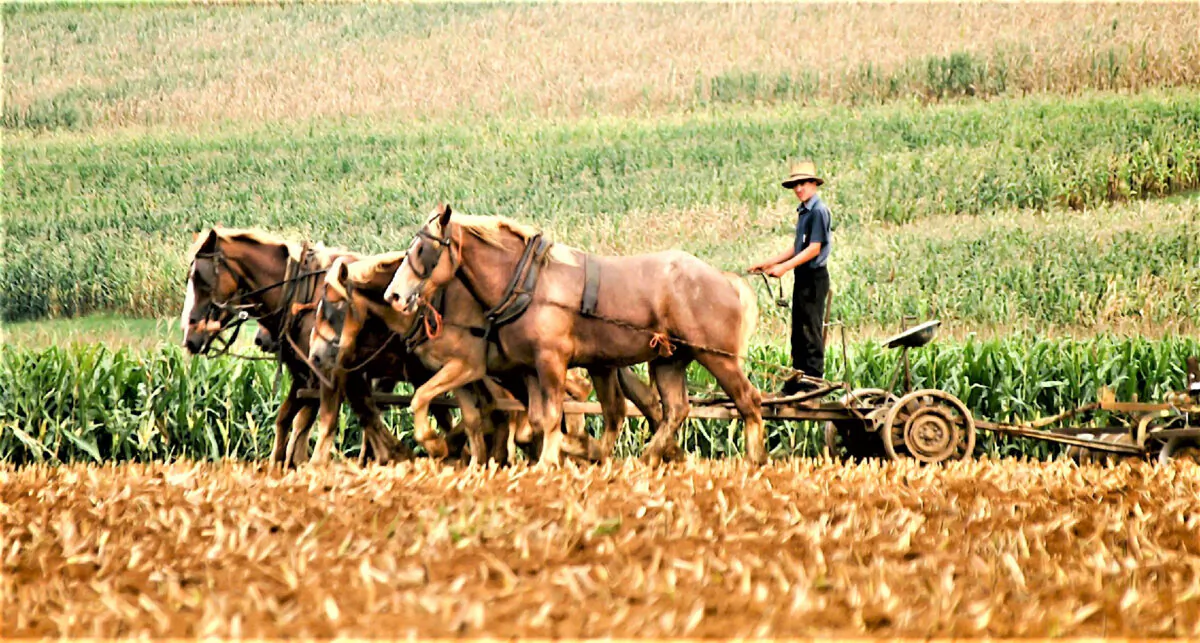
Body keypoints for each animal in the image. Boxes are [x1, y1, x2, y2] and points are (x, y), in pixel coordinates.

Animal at [180, 227, 447, 466]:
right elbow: (288, 419)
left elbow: (325, 422)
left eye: (201, 279)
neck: (302, 300)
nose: (190, 338)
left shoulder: (329, 373)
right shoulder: (304, 375)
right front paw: (280, 464)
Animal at [310, 252, 665, 465]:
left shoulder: (466, 367)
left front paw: (438, 446)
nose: (315, 354)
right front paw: (475, 460)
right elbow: (472, 417)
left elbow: (422, 401)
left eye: (331, 307)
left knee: (581, 393)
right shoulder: (459, 374)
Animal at [382, 204, 763, 465]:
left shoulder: (550, 361)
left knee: (748, 401)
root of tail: (726, 279)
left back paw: (753, 460)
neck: (529, 283)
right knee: (672, 410)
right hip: (669, 360)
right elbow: (534, 421)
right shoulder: (527, 368)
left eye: (423, 250)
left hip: (716, 356)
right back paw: (640, 458)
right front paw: (578, 450)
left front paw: (553, 459)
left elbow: (550, 416)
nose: (394, 296)